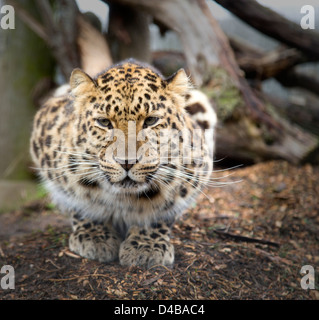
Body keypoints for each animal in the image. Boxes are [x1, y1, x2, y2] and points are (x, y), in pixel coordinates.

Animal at [30, 59, 218, 268]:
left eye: (151, 120)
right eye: (104, 122)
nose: (126, 162)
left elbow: (160, 211)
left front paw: (146, 245)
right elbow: (78, 201)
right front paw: (95, 235)